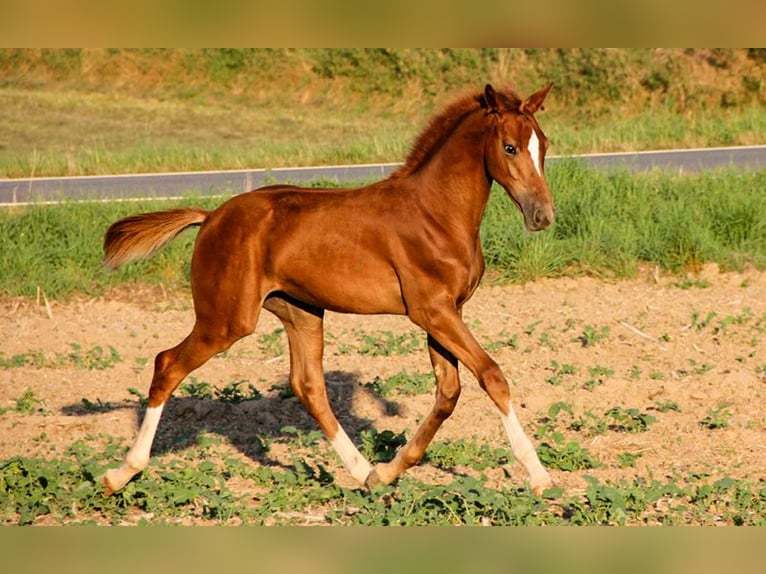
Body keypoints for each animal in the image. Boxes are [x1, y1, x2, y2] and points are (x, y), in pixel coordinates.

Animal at [100, 82, 560, 500]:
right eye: (509, 147)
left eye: (544, 145)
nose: (542, 215)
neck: (435, 212)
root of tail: (211, 216)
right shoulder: (432, 311)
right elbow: (492, 376)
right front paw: (540, 477)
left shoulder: (447, 312)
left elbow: (448, 394)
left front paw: (390, 470)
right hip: (226, 319)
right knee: (167, 364)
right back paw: (120, 474)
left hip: (300, 311)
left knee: (308, 386)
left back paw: (365, 473)